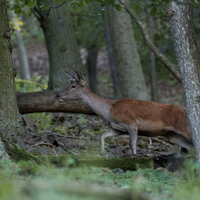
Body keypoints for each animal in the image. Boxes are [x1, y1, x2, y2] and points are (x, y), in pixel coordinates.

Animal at [55, 71, 194, 155]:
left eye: (73, 86)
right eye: (69, 84)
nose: (57, 95)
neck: (109, 111)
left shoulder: (132, 123)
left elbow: (133, 147)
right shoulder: (118, 128)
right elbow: (102, 135)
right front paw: (102, 152)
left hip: (185, 128)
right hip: (172, 135)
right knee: (190, 146)